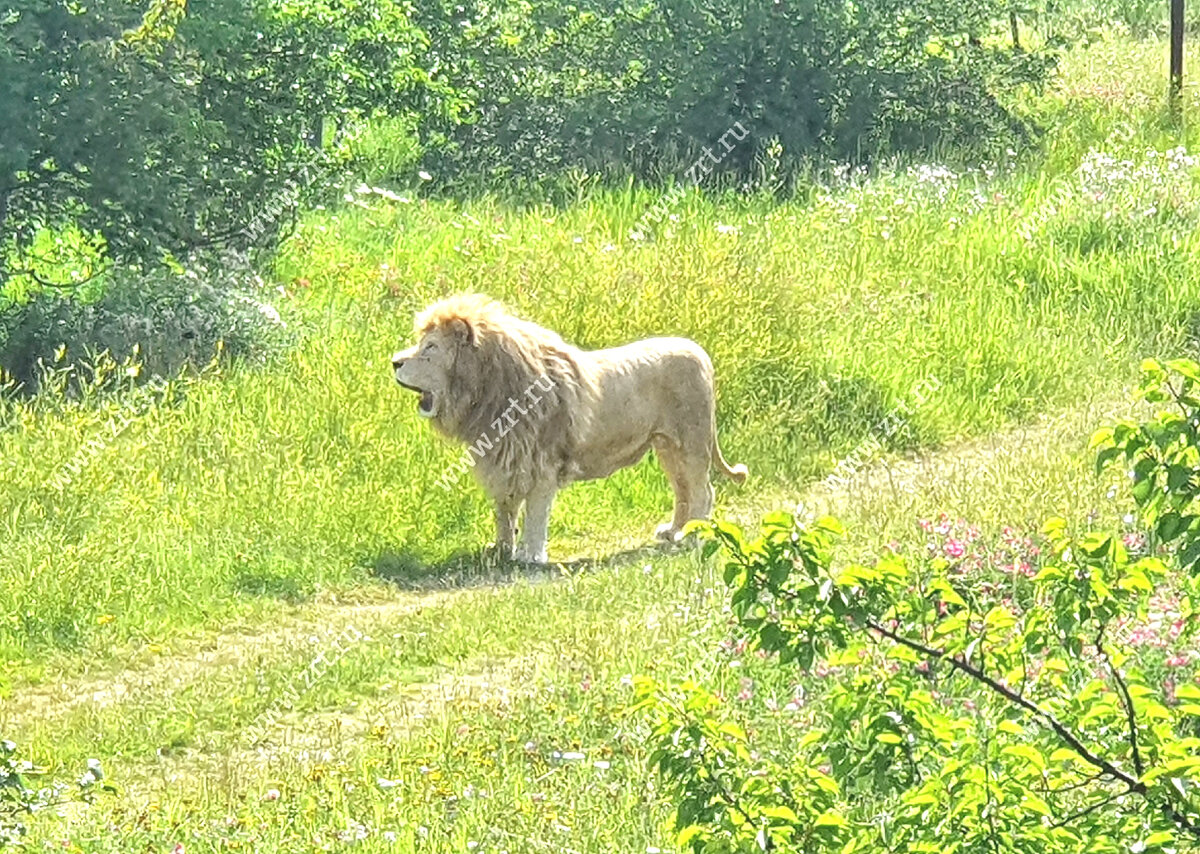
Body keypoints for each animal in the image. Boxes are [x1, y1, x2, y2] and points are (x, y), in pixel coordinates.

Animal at [393, 297, 744, 563]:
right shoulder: (504, 463)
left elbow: (535, 514)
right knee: (682, 490)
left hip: (691, 443)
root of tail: (701, 353)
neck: (488, 394)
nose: (394, 362)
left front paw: (531, 556)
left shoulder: (540, 466)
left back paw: (694, 537)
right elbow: (504, 513)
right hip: (666, 446)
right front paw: (501, 551)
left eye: (430, 347)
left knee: (703, 491)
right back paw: (673, 532)